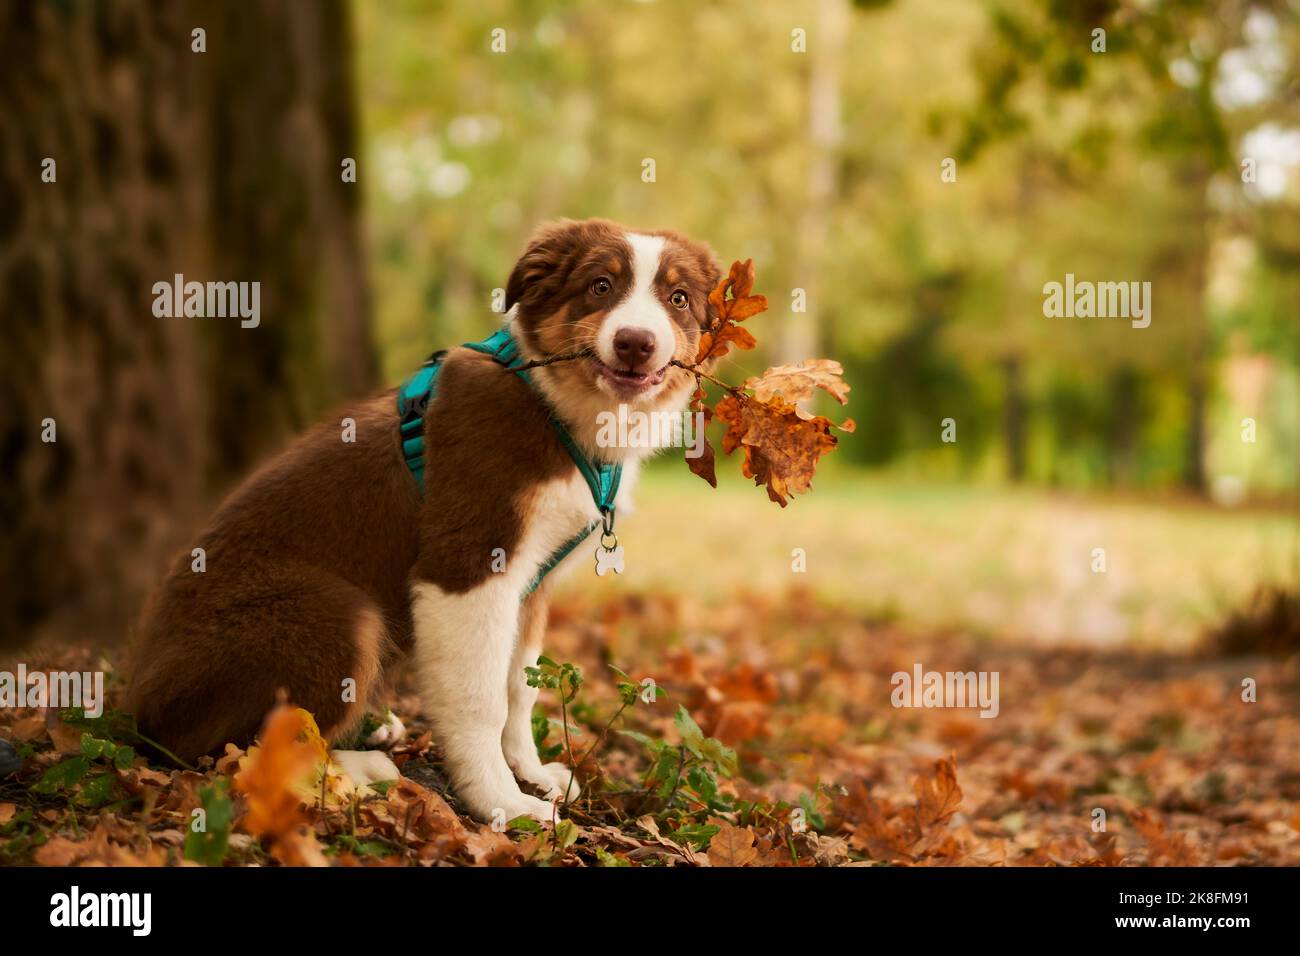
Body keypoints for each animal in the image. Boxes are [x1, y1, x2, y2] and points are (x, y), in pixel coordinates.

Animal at [126, 217, 722, 822]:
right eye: (601, 286)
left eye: (678, 299)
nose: (635, 343)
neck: (555, 405)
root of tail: (137, 703)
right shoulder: (467, 564)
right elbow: (481, 699)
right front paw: (501, 803)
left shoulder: (532, 585)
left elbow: (520, 688)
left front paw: (531, 773)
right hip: (335, 616)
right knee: (225, 750)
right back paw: (357, 768)